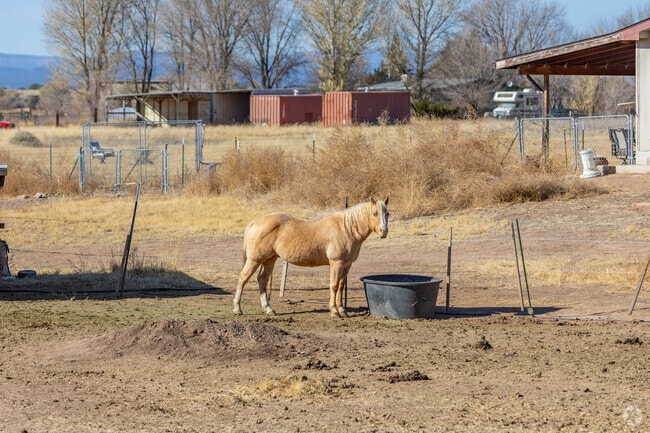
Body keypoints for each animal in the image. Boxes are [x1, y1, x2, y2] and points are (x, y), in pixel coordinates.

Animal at [233, 197, 389, 318]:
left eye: (387, 213)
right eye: (375, 213)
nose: (384, 232)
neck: (346, 228)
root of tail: (254, 222)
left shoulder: (346, 264)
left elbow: (340, 286)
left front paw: (342, 311)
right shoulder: (336, 263)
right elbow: (333, 286)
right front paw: (334, 311)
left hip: (269, 259)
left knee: (262, 280)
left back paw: (269, 309)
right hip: (255, 260)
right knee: (243, 278)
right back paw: (237, 309)